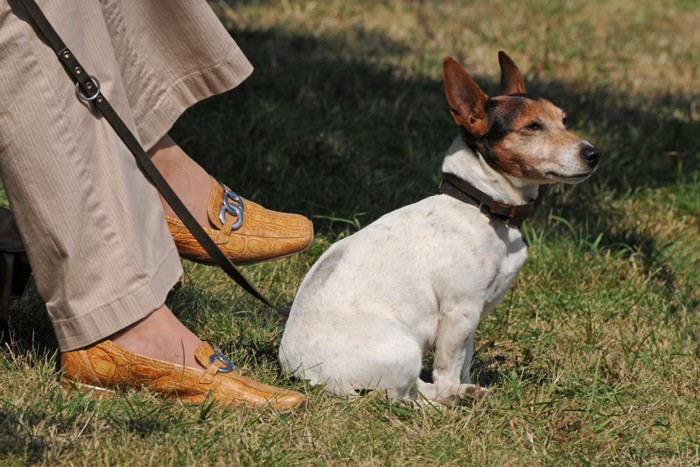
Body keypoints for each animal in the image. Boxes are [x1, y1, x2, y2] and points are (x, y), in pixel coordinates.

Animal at [276, 49, 600, 404]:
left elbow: (465, 359)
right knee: (404, 395)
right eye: (533, 126)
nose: (593, 153)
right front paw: (455, 392)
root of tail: (300, 370)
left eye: (563, 120)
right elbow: (448, 368)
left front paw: (467, 383)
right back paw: (449, 400)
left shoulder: (473, 315)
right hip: (403, 348)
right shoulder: (460, 311)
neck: (482, 206)